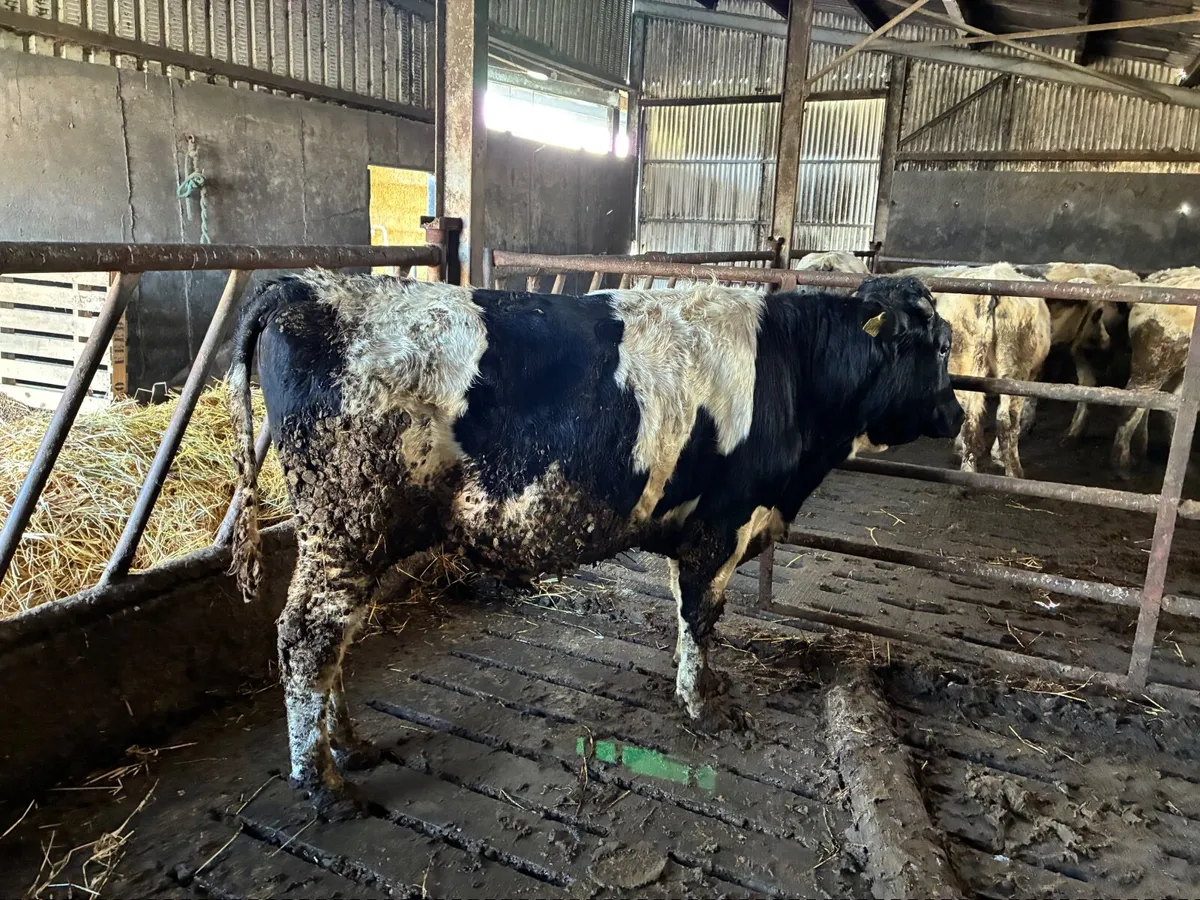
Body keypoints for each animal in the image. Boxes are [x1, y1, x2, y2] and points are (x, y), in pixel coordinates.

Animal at [226, 272, 963, 817]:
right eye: (938, 346)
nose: (955, 414)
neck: (794, 369)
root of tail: (305, 285)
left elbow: (689, 615)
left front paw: (698, 685)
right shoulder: (721, 523)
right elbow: (702, 616)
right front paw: (705, 704)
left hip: (362, 538)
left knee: (336, 640)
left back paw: (348, 746)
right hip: (346, 525)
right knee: (308, 639)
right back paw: (324, 783)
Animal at [932, 263, 1051, 479]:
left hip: (962, 360)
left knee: (968, 416)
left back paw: (968, 467)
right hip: (1014, 369)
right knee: (1007, 419)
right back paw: (1014, 472)